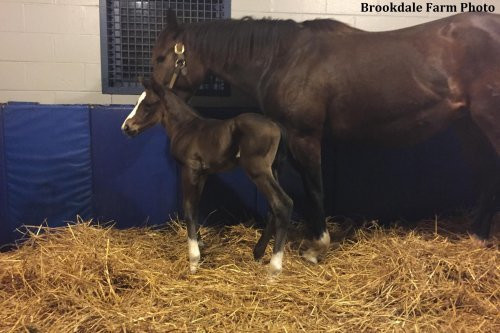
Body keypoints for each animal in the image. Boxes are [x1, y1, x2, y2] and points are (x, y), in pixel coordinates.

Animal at [152, 11, 500, 262]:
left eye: (160, 57)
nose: (153, 96)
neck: (284, 58)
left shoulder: (305, 136)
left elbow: (315, 188)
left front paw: (316, 246)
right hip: (469, 126)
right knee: (487, 175)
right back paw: (477, 235)